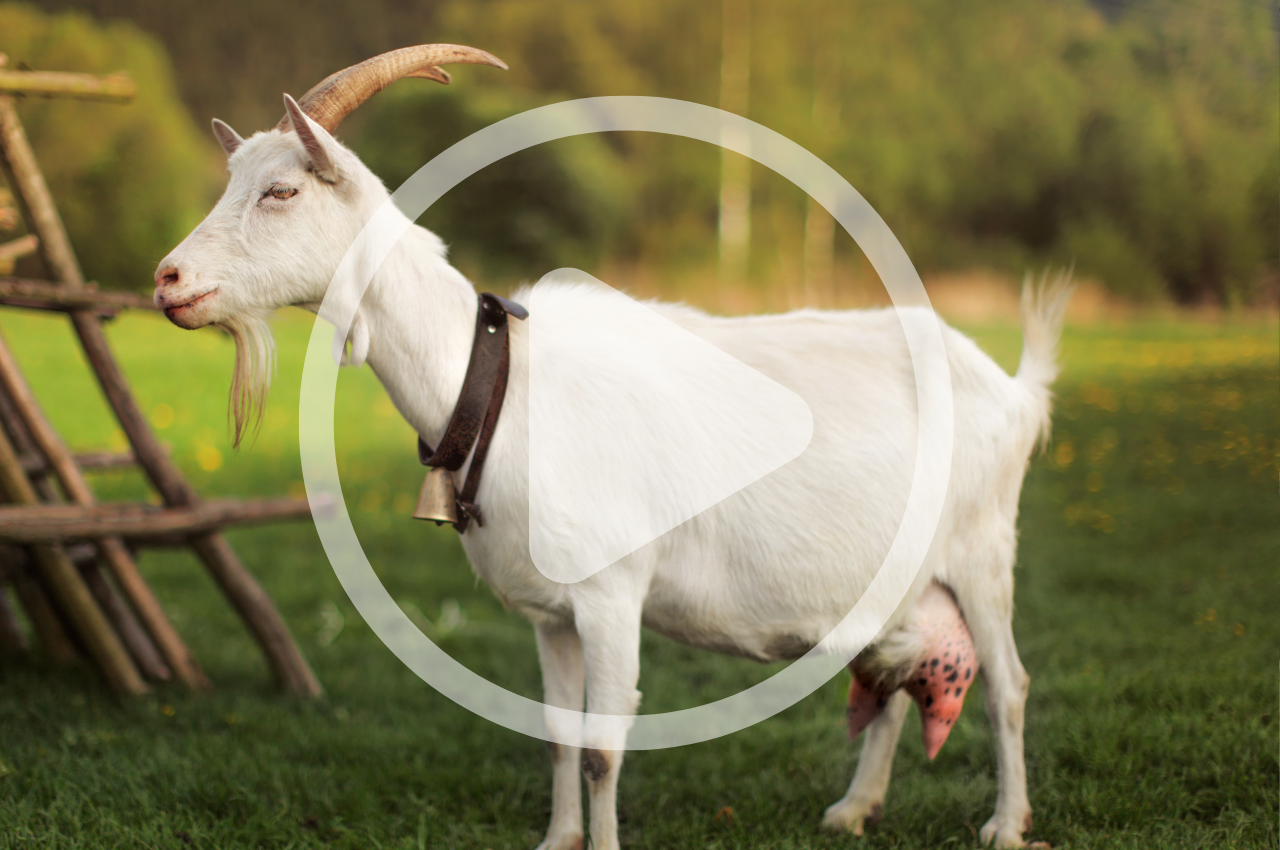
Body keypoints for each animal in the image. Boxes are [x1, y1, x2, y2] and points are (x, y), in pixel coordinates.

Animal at [153, 45, 1069, 850]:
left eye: (279, 190)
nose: (166, 280)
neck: (496, 383)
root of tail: (1014, 389)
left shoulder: (610, 595)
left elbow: (601, 749)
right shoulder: (549, 614)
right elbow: (559, 735)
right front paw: (559, 839)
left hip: (983, 550)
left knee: (1009, 685)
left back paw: (1005, 824)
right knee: (895, 679)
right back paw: (855, 810)